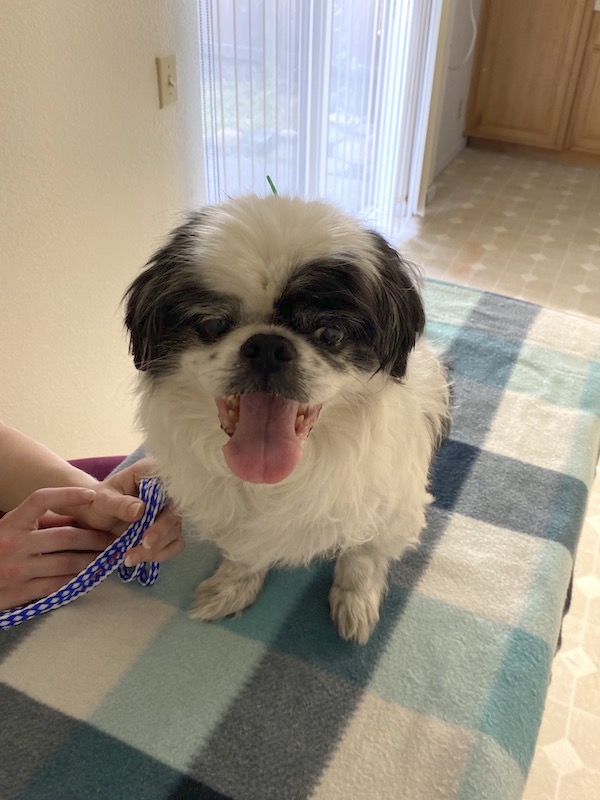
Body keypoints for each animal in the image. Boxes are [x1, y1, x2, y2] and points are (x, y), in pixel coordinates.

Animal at [123, 194, 450, 644]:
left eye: (330, 333)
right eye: (212, 324)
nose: (267, 345)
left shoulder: (393, 509)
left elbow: (362, 557)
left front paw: (354, 606)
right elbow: (246, 553)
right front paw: (230, 590)